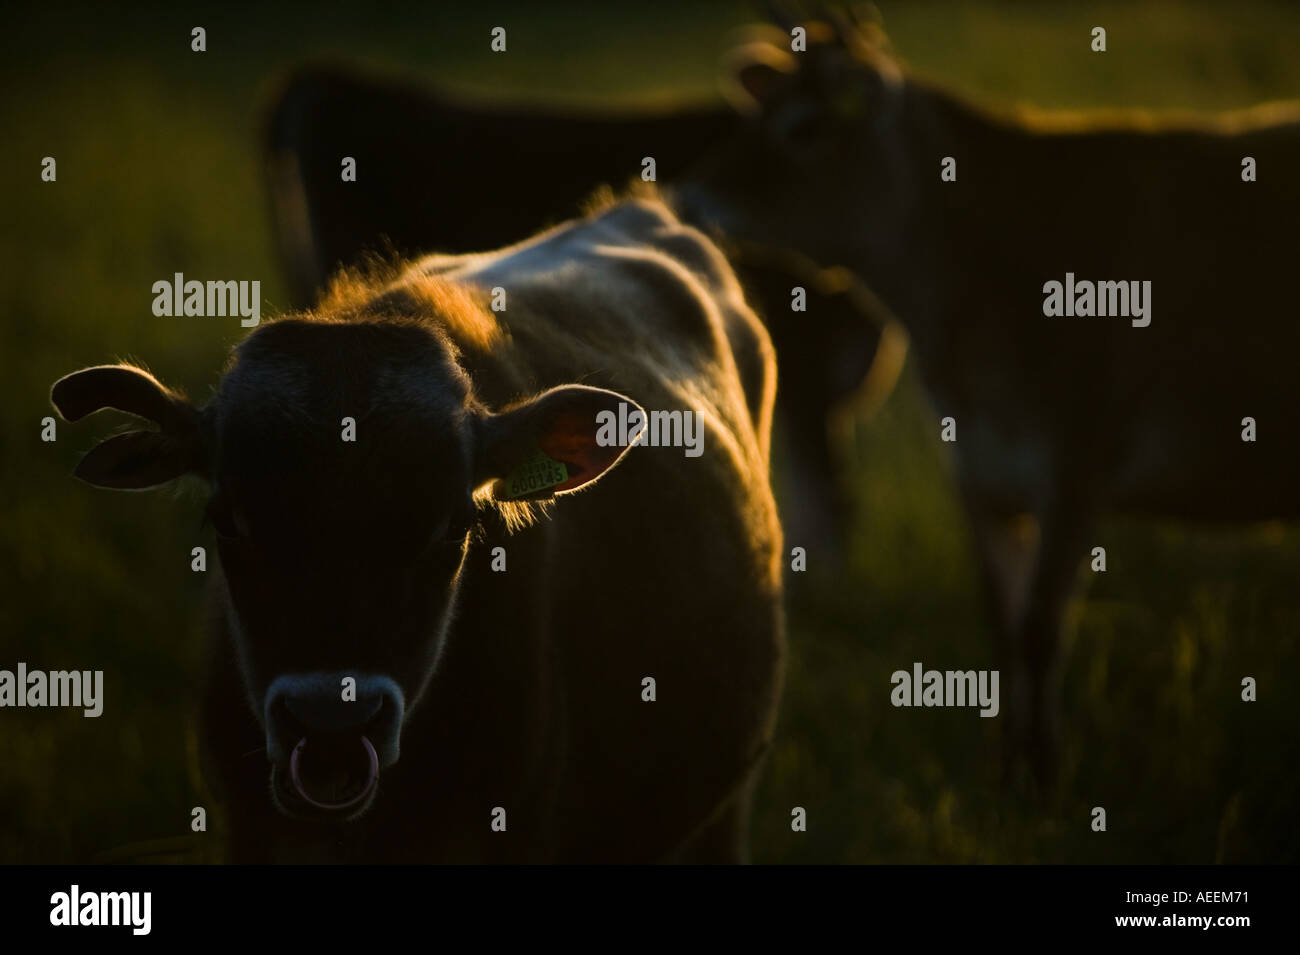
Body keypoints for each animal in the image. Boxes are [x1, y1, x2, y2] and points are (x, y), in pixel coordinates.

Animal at [677, 12, 1300, 785]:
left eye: (805, 127)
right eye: (756, 112)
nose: (688, 198)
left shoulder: (1076, 464)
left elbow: (1038, 628)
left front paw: (1045, 777)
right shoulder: (979, 473)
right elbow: (1002, 628)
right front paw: (1007, 772)